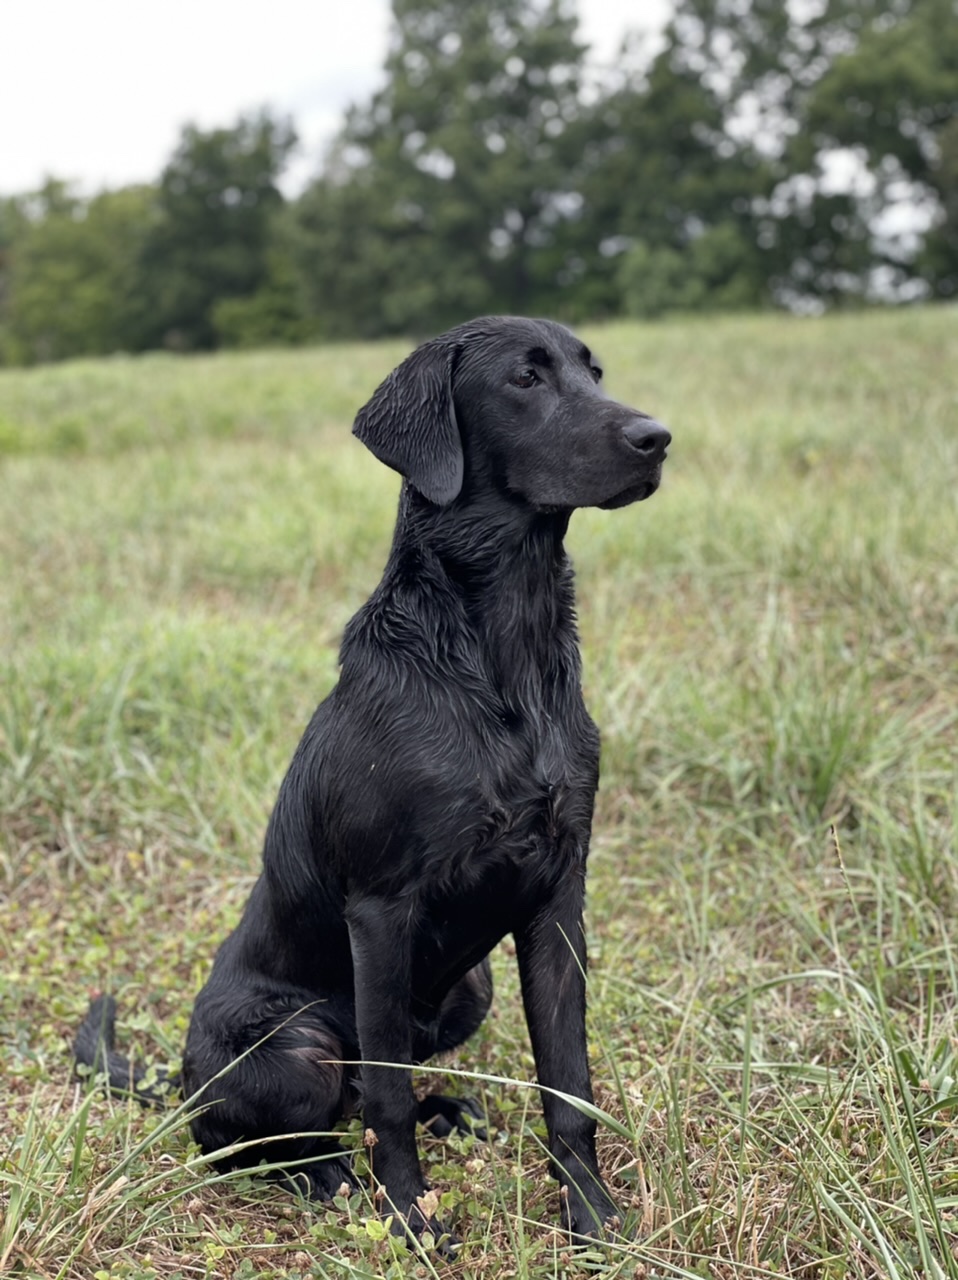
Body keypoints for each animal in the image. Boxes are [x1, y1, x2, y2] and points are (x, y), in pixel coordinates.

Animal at [73, 314, 665, 1244]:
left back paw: (451, 1112)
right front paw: (412, 1217)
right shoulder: (383, 909)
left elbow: (569, 1083)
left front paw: (592, 1217)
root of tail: (180, 1076)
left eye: (594, 372)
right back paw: (332, 1179)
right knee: (263, 1137)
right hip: (297, 1045)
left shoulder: (558, 894)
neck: (502, 656)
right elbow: (385, 1094)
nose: (657, 439)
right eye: (525, 378)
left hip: (468, 989)